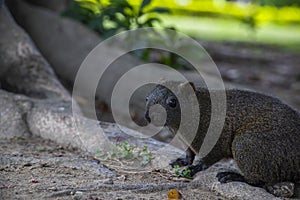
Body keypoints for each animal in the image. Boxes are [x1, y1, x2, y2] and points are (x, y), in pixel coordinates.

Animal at [145, 81, 300, 197]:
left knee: (260, 180)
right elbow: (189, 154)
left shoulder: (215, 139)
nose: (148, 116)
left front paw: (194, 168)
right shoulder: (188, 142)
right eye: (146, 98)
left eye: (172, 102)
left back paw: (233, 176)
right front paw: (182, 161)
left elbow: (208, 159)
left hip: (245, 144)